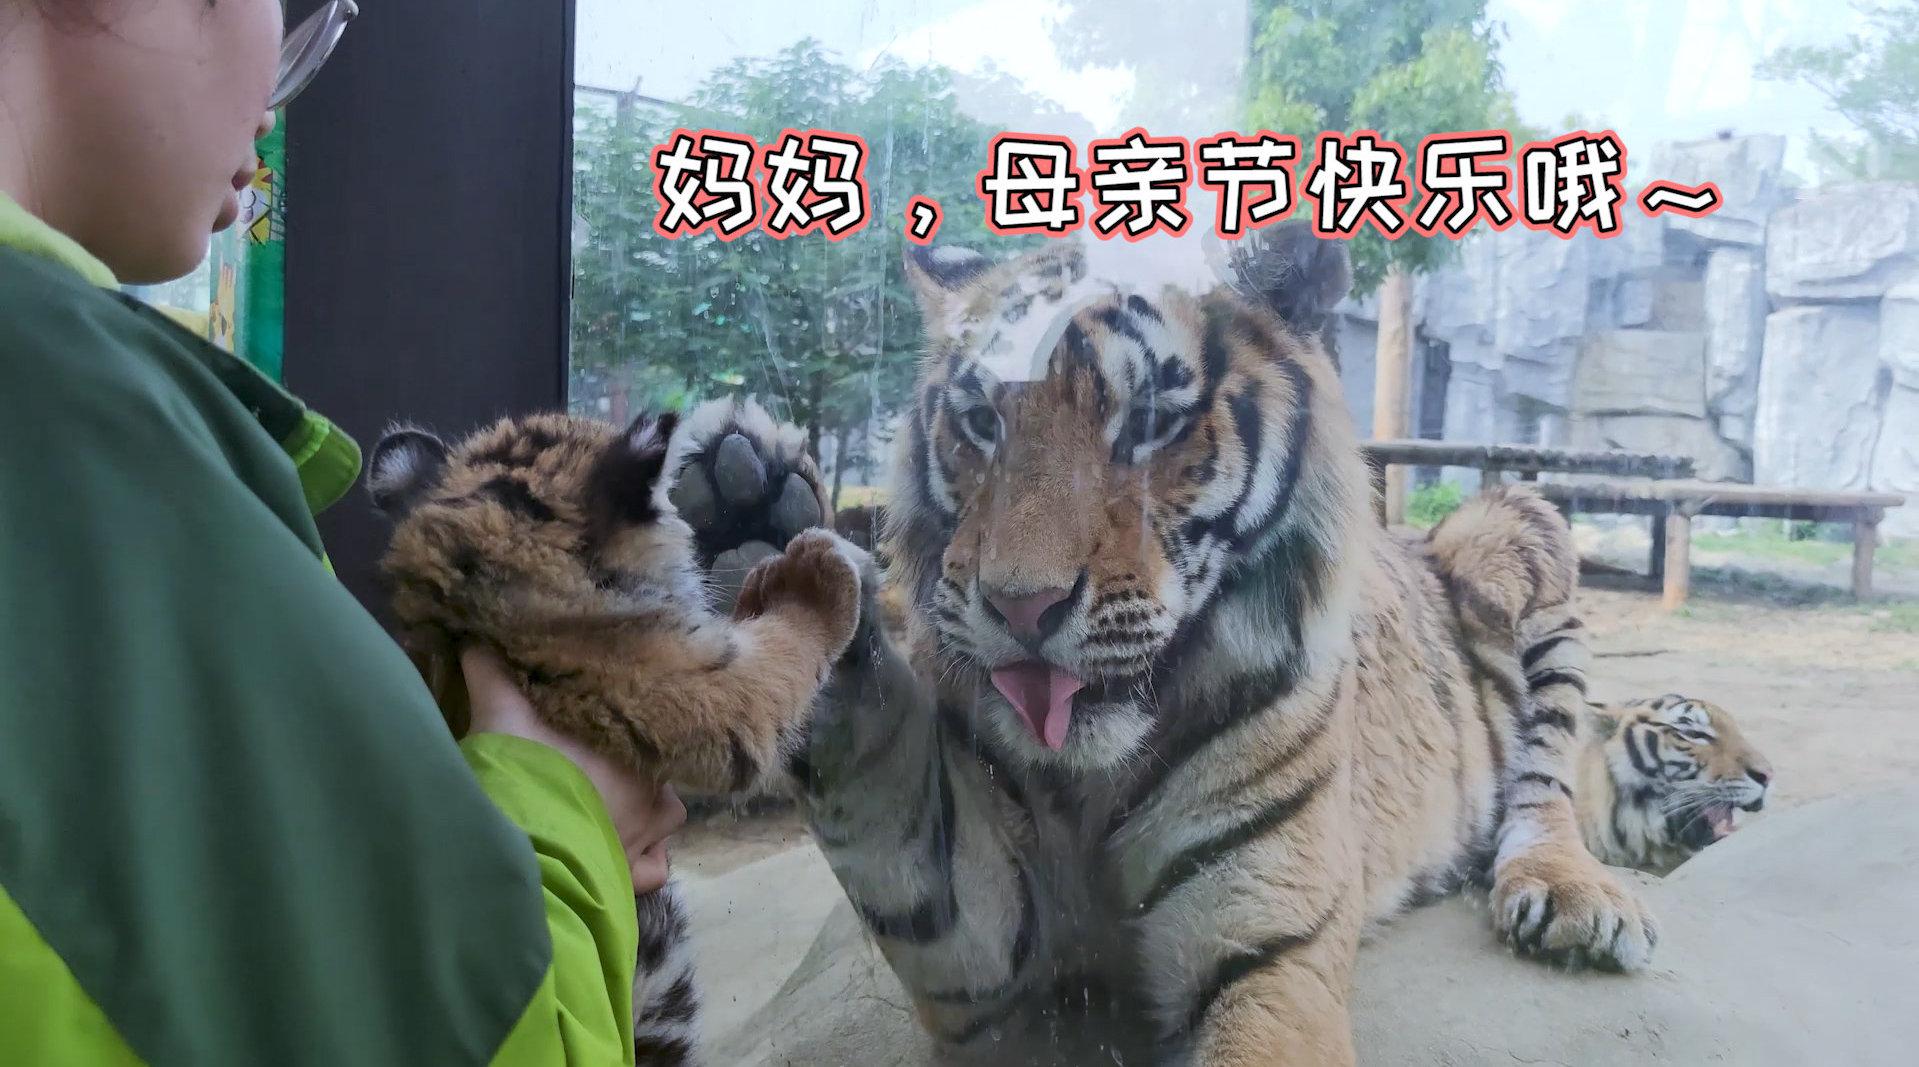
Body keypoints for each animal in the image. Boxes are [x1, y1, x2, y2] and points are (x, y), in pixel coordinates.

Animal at [691, 220, 1660, 1066]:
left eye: (1149, 416)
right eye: (981, 422)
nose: (1020, 605)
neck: (1087, 783)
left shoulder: (1267, 953)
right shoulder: (973, 942)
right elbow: (881, 800)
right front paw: (756, 532)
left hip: (1514, 524)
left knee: (1544, 777)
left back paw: (1571, 896)